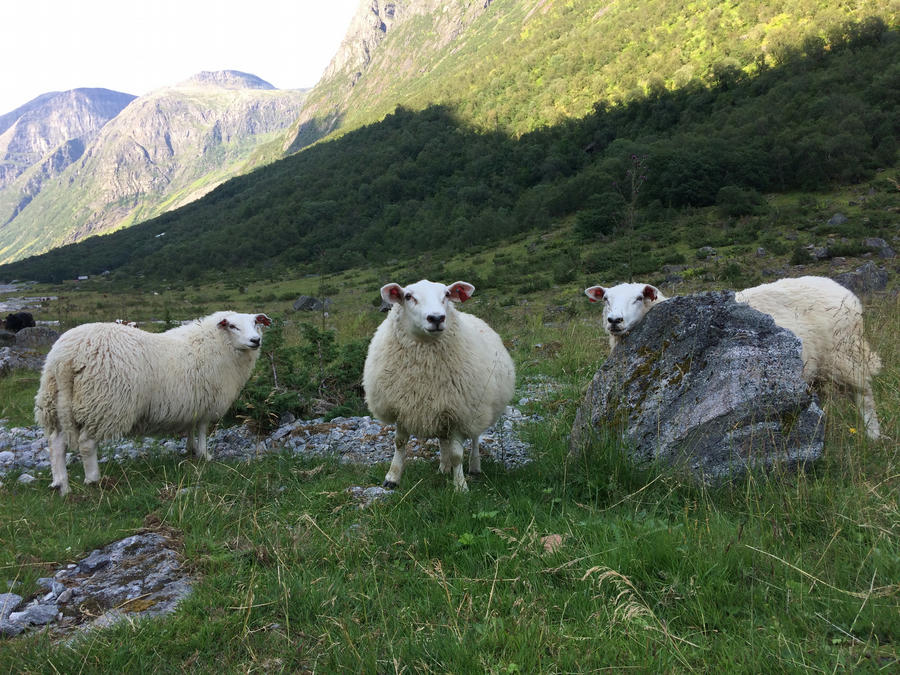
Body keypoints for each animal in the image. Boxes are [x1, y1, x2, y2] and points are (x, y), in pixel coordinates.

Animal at [34, 312, 270, 496]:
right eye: (232, 325)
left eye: (255, 323)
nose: (255, 340)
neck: (217, 343)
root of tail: (65, 359)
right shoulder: (208, 402)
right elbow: (203, 430)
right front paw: (205, 455)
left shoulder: (193, 402)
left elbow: (191, 428)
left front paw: (190, 449)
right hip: (104, 403)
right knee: (86, 444)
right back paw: (93, 479)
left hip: (57, 403)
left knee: (56, 443)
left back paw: (61, 484)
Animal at [358, 280, 512, 492]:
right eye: (408, 296)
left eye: (446, 294)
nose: (437, 318)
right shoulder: (403, 406)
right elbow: (399, 443)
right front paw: (392, 477)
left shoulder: (459, 412)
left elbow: (457, 454)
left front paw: (460, 486)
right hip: (440, 409)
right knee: (442, 439)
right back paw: (443, 467)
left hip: (476, 408)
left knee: (474, 438)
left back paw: (474, 467)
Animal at [584, 278, 884, 440]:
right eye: (606, 299)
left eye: (638, 297)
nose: (614, 321)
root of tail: (848, 294)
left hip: (845, 353)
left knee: (864, 395)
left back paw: (873, 436)